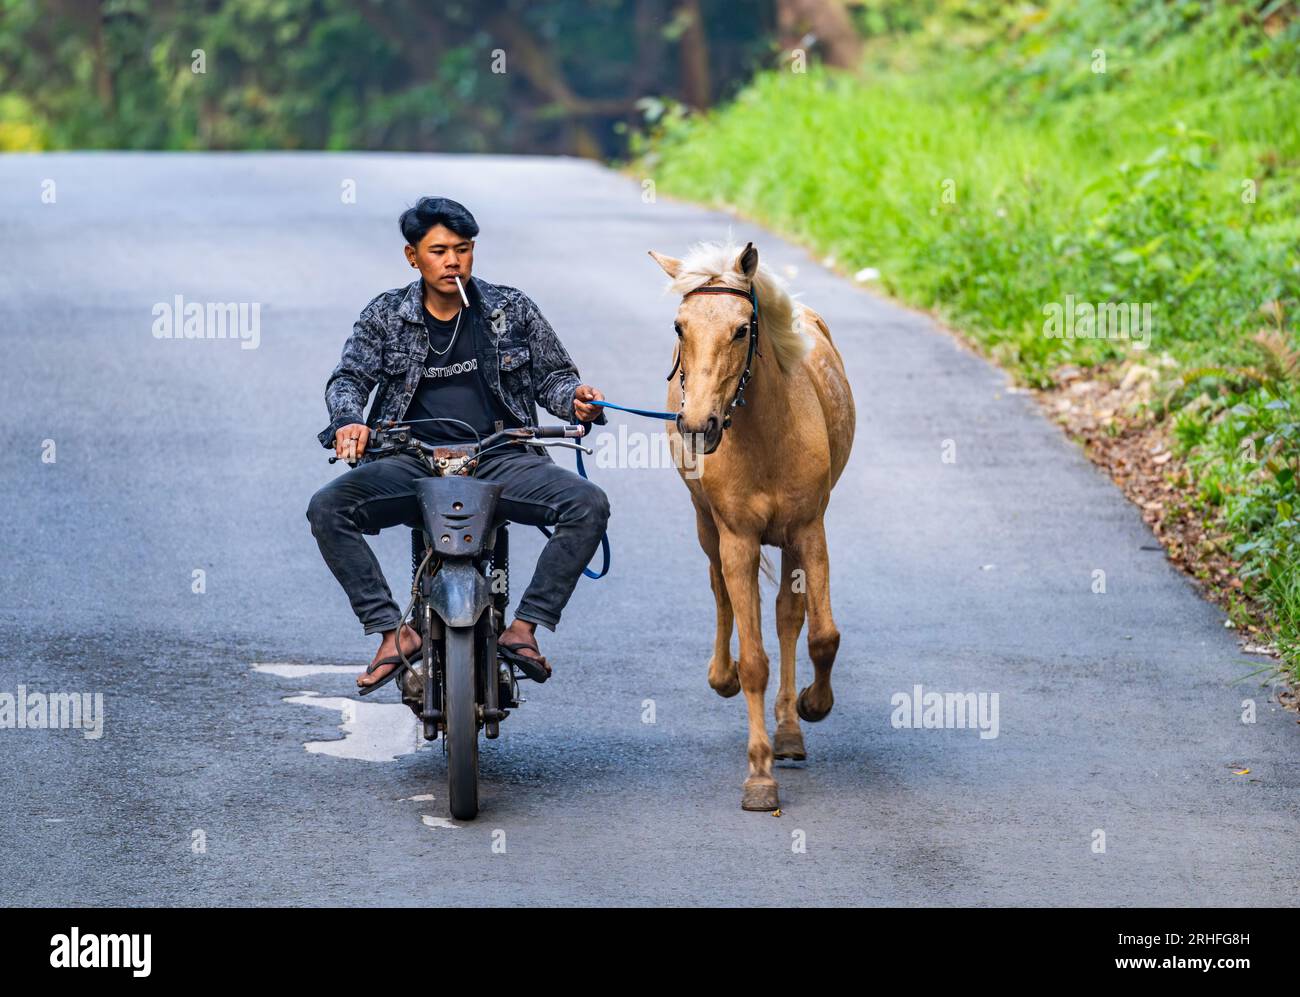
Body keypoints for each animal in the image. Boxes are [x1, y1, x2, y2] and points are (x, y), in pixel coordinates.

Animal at [647, 239, 852, 811]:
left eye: (742, 329)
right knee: (720, 590)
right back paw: (724, 677)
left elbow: (821, 635)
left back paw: (789, 729)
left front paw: (811, 706)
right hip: (706, 524)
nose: (698, 426)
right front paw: (759, 777)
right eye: (679, 327)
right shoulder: (737, 538)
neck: (765, 434)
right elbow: (754, 657)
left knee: (788, 615)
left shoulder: (809, 530)